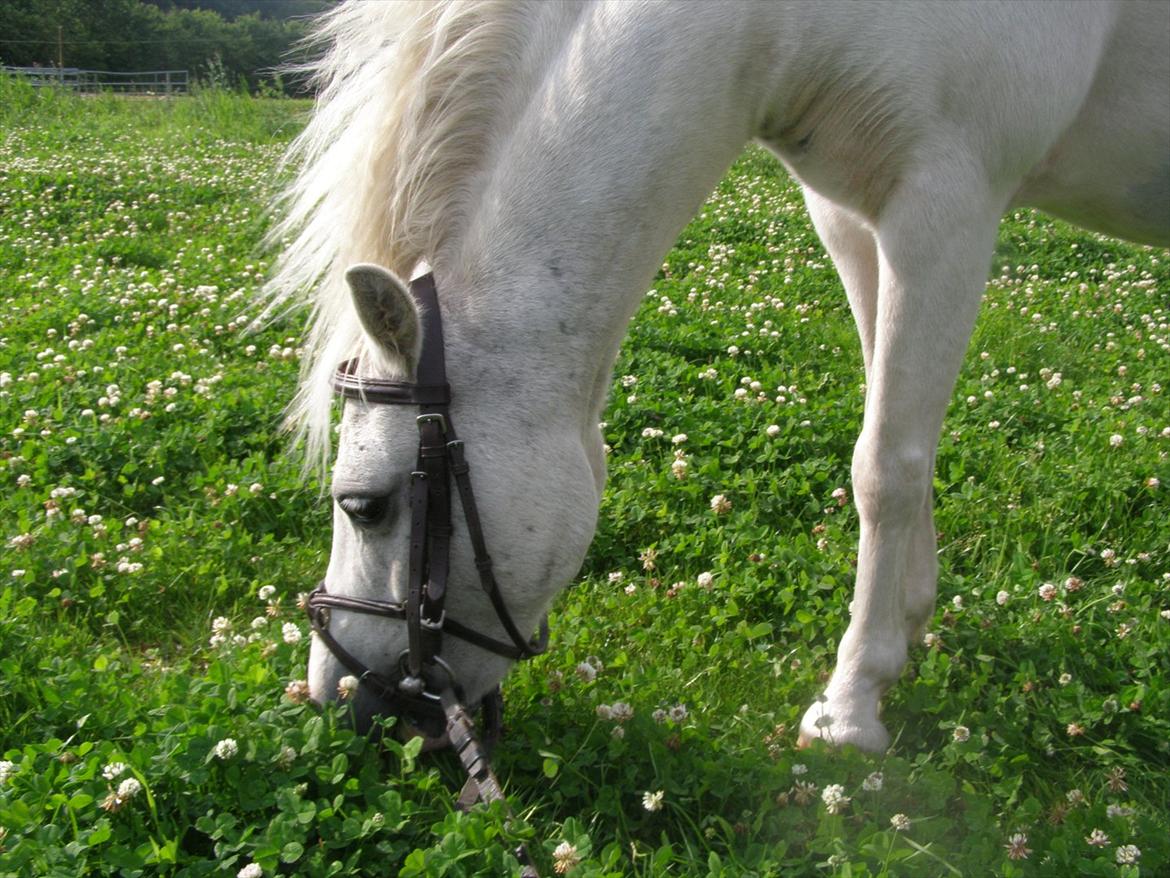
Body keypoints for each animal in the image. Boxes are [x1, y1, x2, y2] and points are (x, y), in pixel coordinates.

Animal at [268, 0, 1170, 755]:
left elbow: (887, 467)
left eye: (364, 505)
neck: (788, 22)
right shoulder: (854, 215)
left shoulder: (947, 199)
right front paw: (906, 625)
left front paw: (851, 705)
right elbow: (896, 438)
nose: (337, 698)